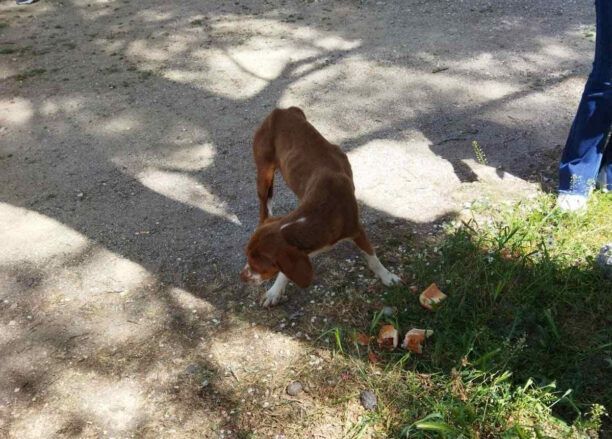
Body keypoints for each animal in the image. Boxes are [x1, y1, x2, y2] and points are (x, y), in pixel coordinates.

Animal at [239, 107, 402, 306]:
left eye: (257, 265)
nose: (241, 277)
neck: (320, 212)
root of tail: (282, 110)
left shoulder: (356, 230)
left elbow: (372, 258)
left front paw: (387, 276)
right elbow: (288, 272)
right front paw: (274, 291)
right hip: (264, 173)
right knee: (264, 205)